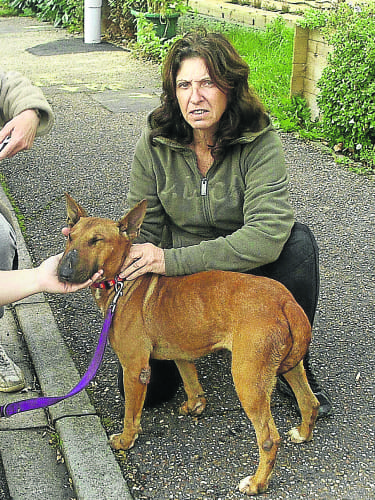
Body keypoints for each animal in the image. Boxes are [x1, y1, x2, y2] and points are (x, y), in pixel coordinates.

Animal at [58, 193, 320, 494]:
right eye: (70, 237)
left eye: (96, 240)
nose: (62, 272)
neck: (125, 280)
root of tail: (284, 300)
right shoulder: (181, 350)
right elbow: (190, 379)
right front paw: (195, 405)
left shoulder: (135, 370)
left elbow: (130, 415)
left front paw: (125, 441)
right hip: (290, 367)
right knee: (309, 401)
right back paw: (303, 433)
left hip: (248, 378)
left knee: (268, 438)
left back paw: (256, 483)